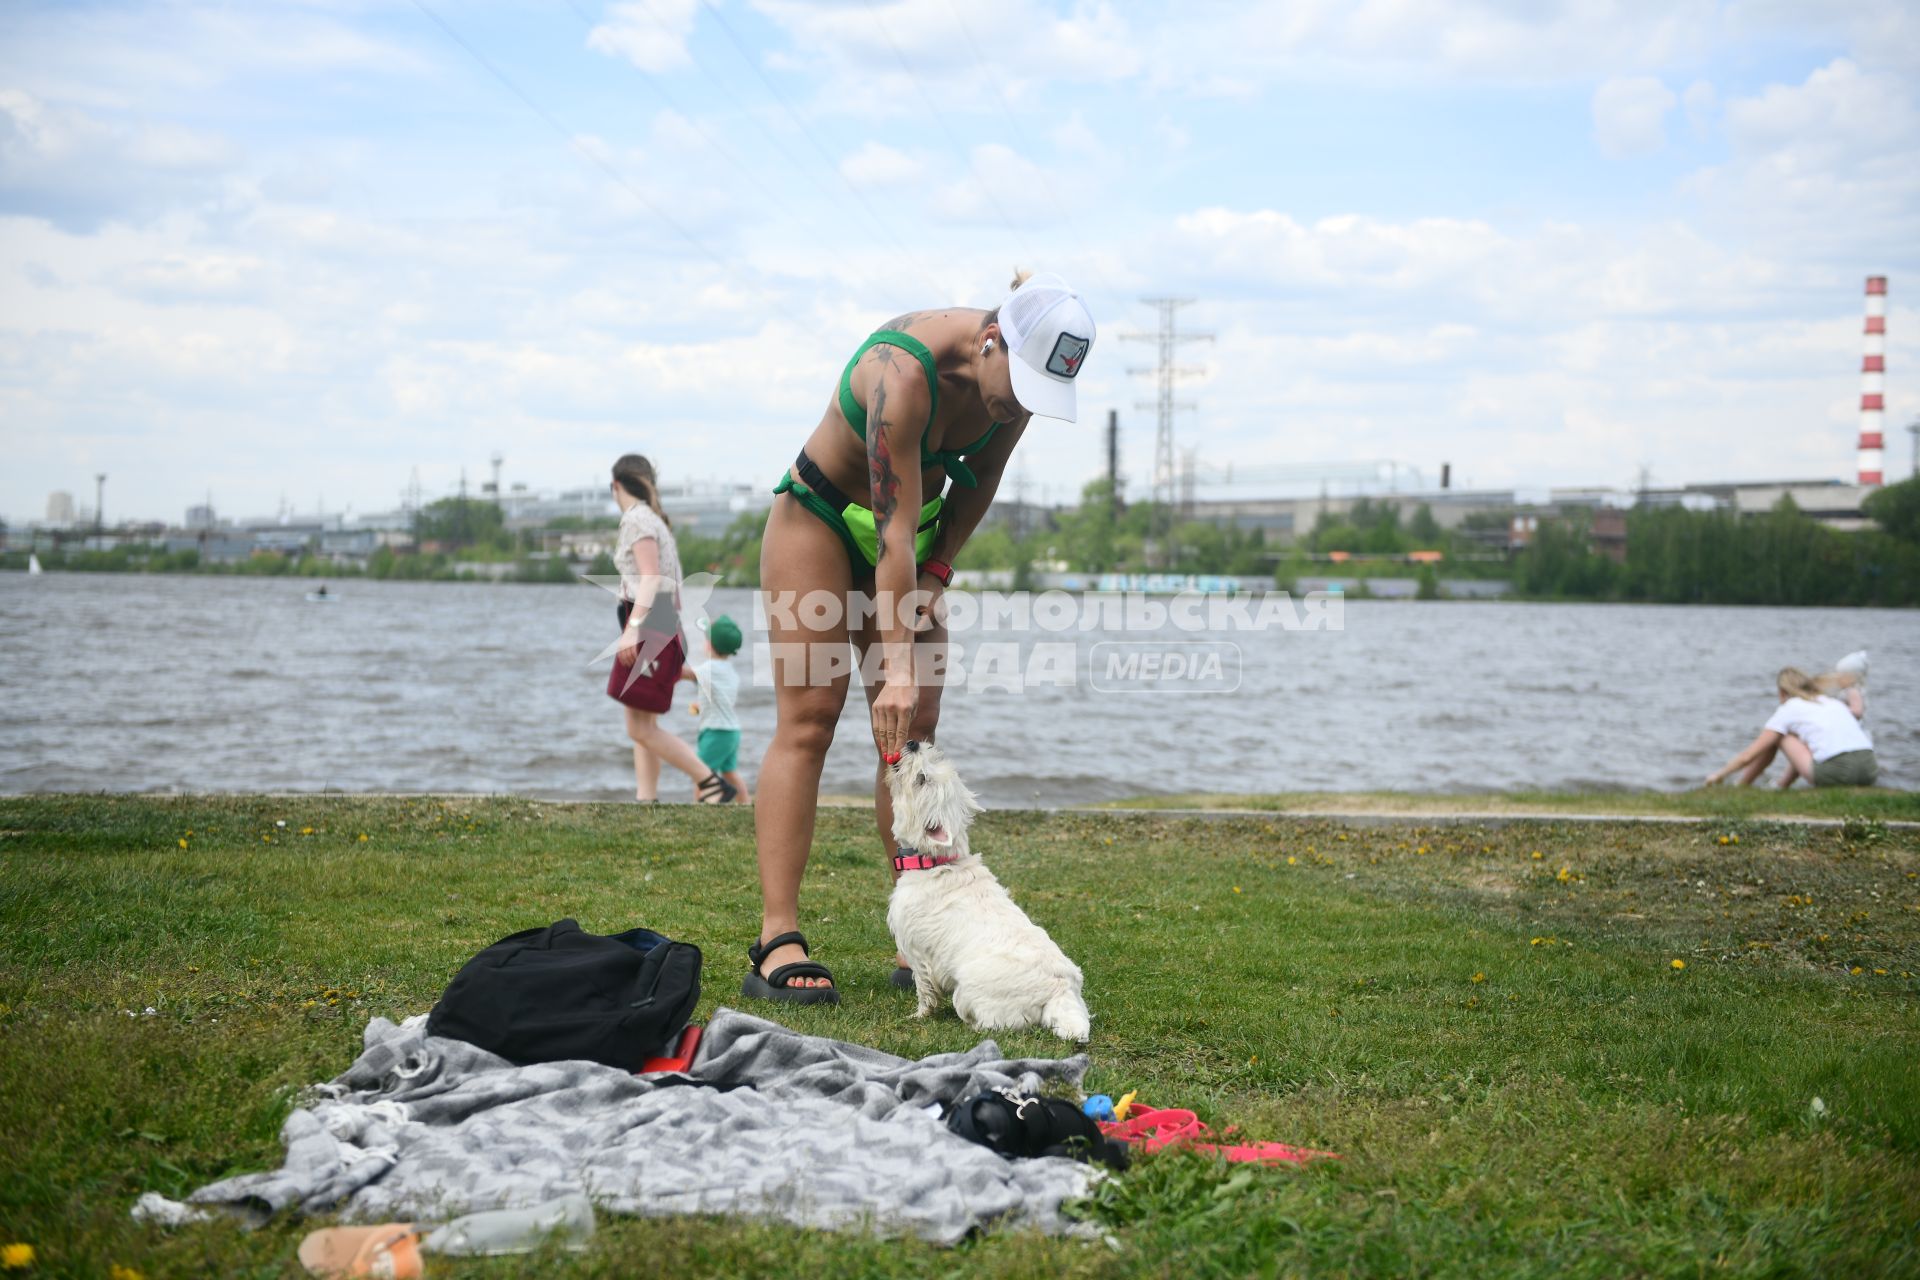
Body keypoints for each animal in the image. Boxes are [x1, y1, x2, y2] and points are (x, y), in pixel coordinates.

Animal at [879, 740, 1090, 1043]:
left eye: (921, 778)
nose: (912, 742)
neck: (936, 863)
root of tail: (1059, 992)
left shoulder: (919, 952)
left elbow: (925, 990)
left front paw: (919, 1015)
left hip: (969, 989)